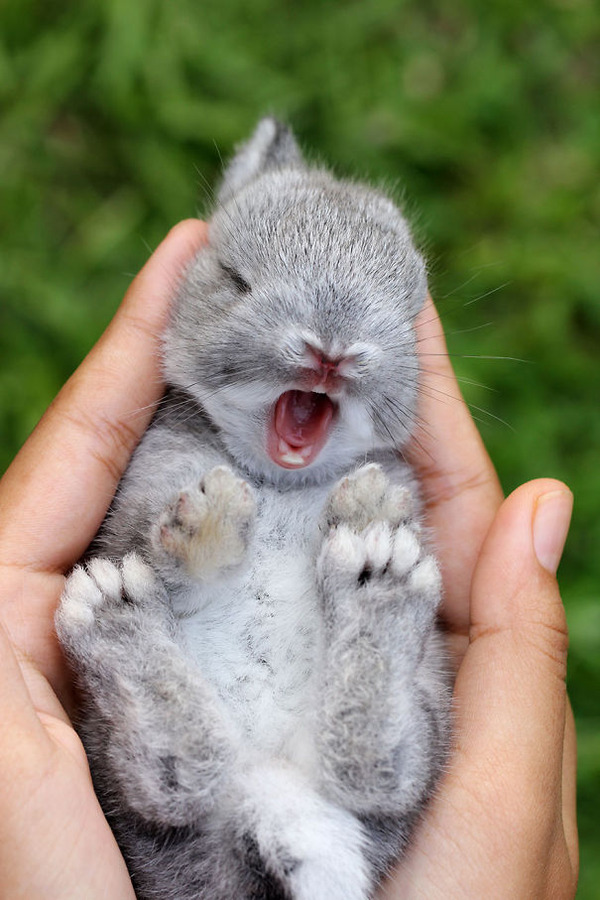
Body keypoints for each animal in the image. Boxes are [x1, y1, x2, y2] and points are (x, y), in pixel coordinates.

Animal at [57, 119, 450, 900]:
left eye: (408, 310)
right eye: (234, 280)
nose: (332, 351)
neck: (277, 481)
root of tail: (276, 809)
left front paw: (369, 502)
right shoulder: (138, 505)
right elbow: (160, 543)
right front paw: (210, 521)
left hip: (426, 714)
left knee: (380, 772)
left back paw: (379, 572)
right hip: (115, 763)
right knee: (174, 782)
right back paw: (115, 612)